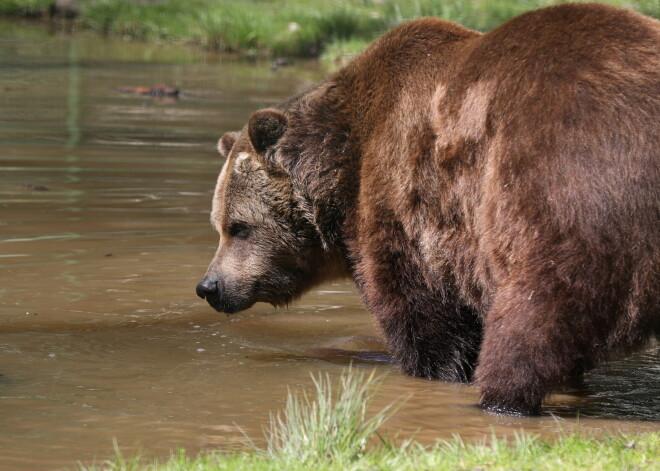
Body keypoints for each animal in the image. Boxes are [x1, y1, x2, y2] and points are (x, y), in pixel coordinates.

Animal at [197, 3, 660, 416]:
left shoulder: (405, 203)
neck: (340, 163)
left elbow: (421, 312)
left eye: (239, 227)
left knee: (536, 305)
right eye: (219, 225)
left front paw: (433, 370)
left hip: (556, 184)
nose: (209, 286)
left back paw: (501, 396)